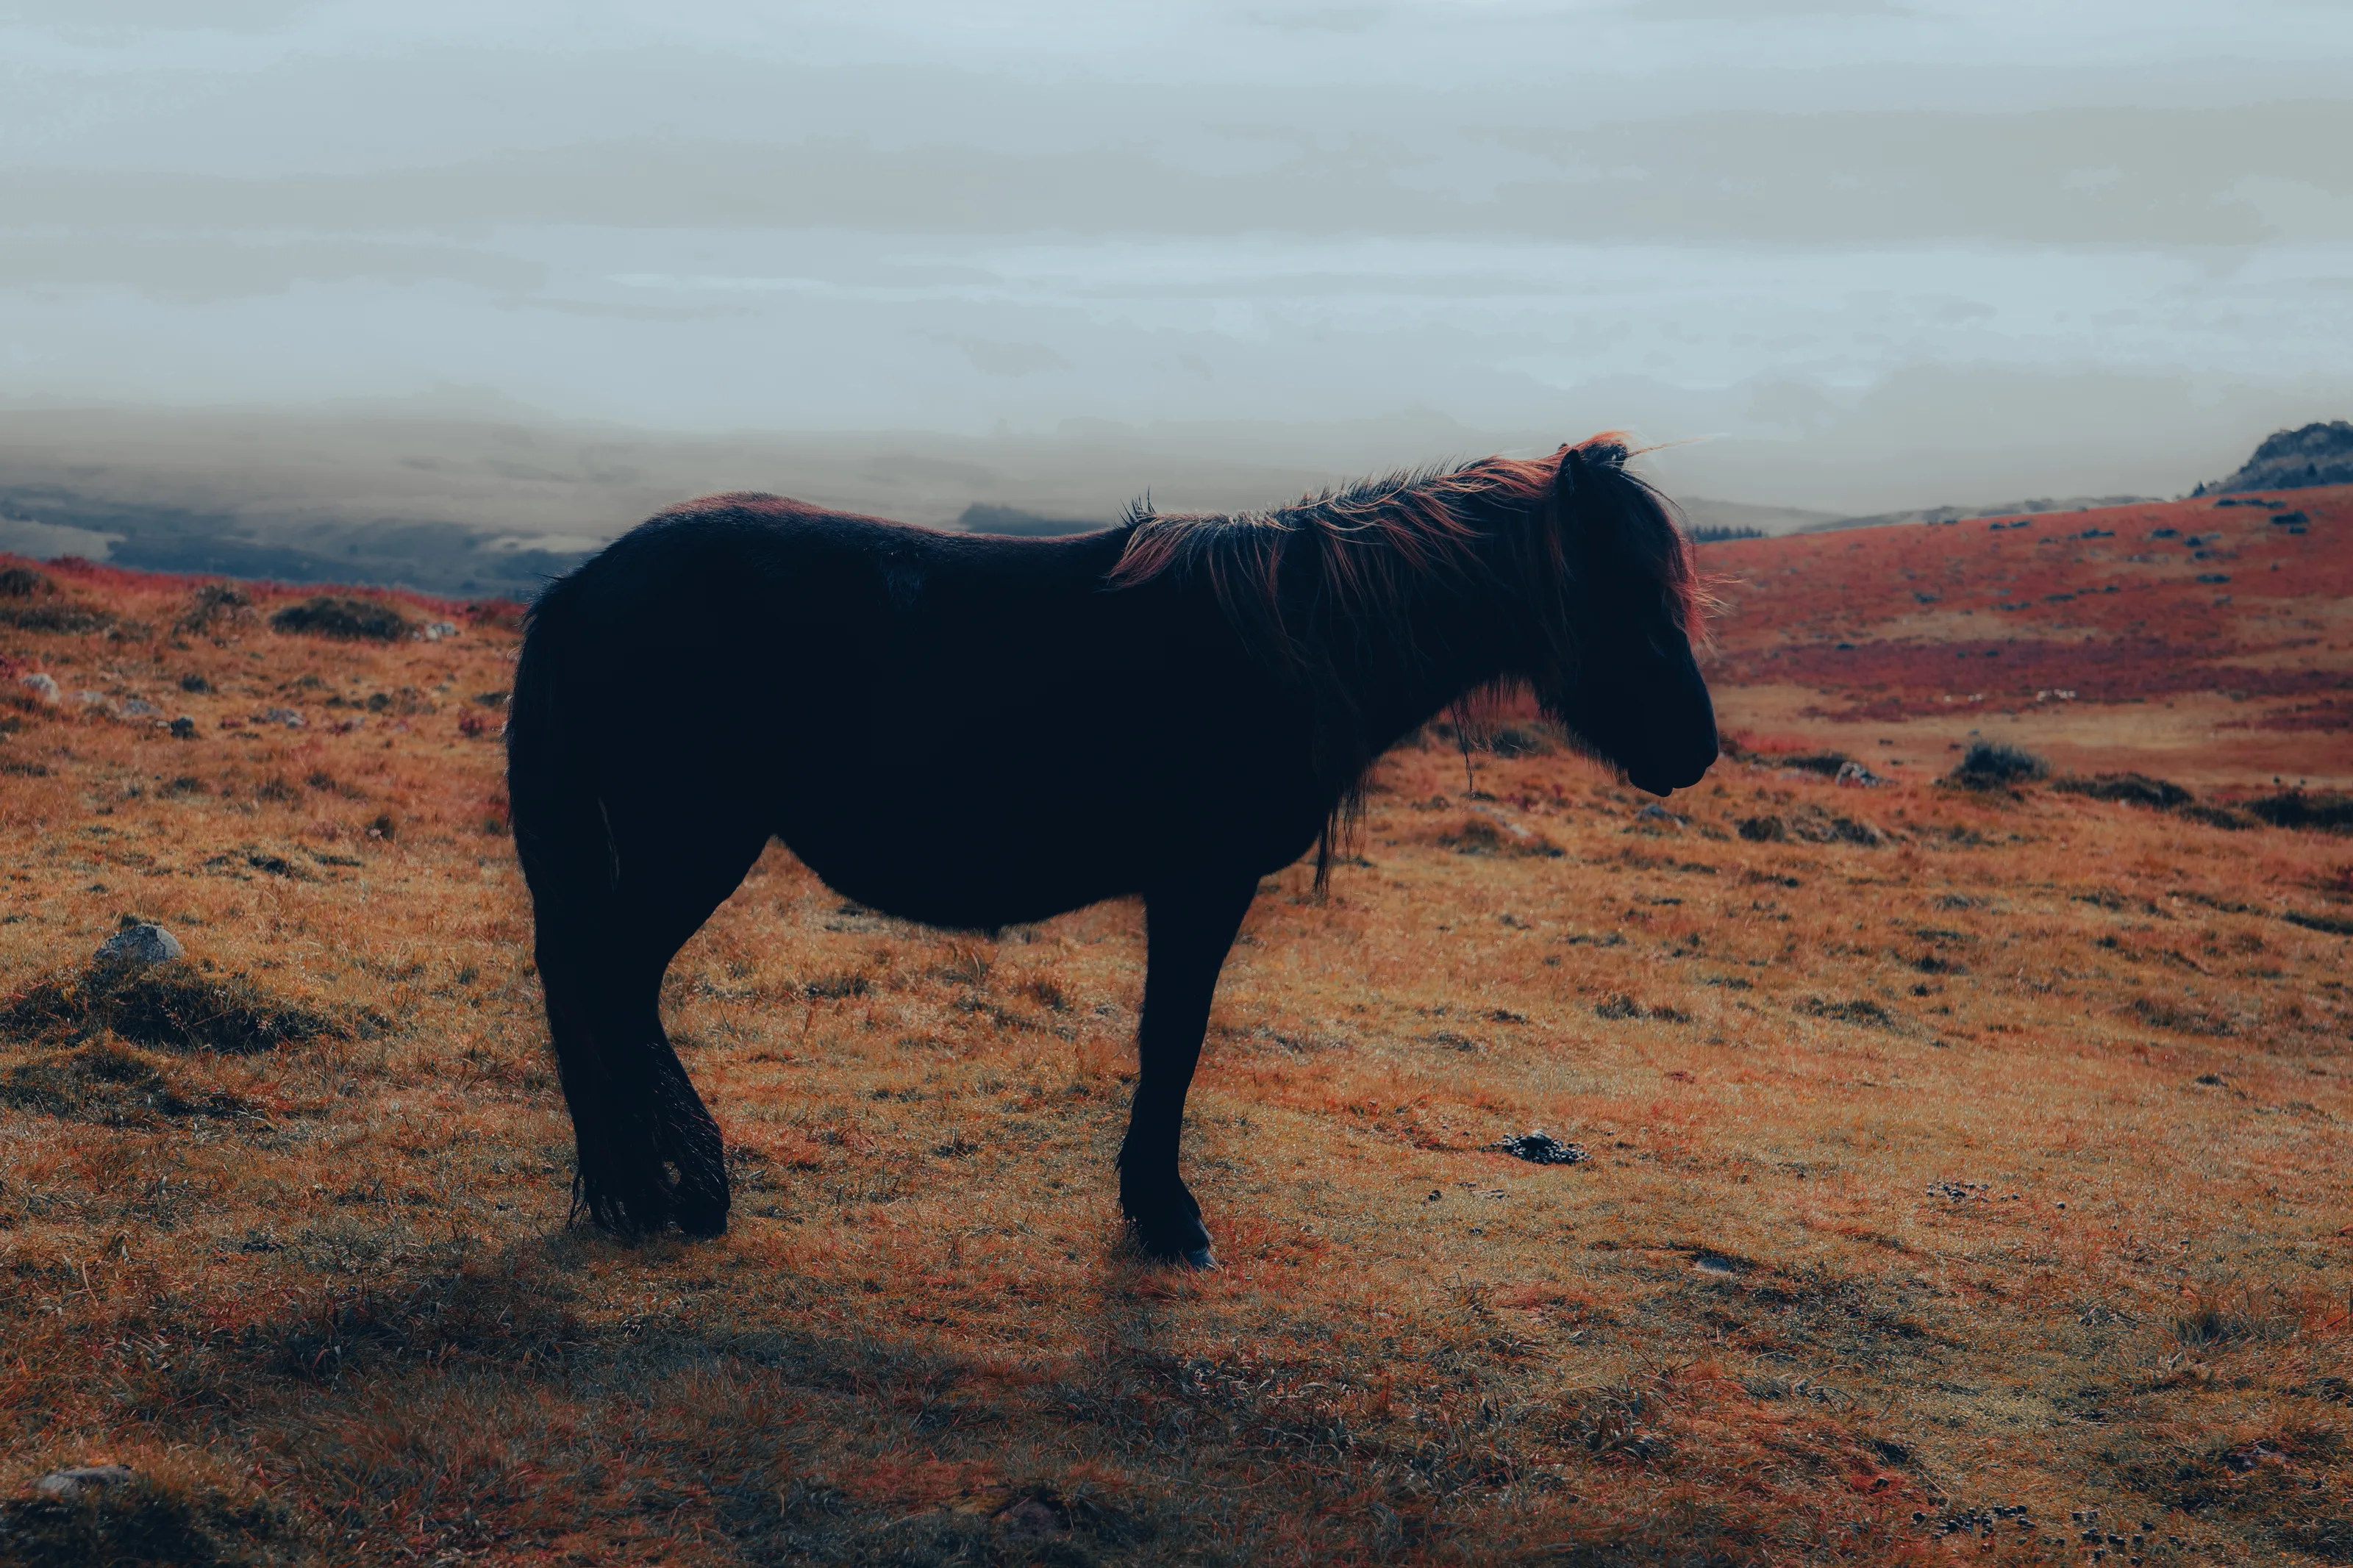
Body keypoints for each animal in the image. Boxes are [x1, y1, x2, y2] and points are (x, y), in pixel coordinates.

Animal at [504, 434, 1717, 1266]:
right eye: (1627, 590)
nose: (1696, 749)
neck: (1292, 638)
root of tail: (580, 585)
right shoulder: (1203, 883)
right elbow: (1172, 1039)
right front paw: (1167, 1215)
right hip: (689, 843)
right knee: (609, 982)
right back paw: (684, 1186)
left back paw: (642, 1188)